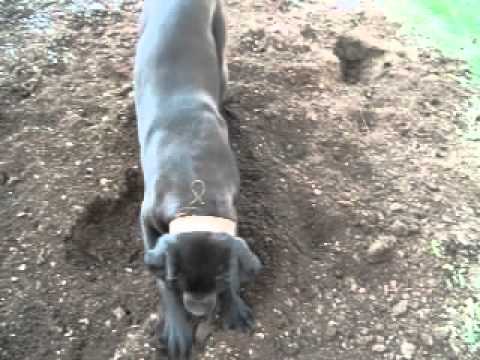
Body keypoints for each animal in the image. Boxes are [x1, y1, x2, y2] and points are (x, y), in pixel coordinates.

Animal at [133, 1, 262, 358]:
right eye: (179, 282)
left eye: (218, 282)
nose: (200, 312)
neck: (195, 187)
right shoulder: (146, 218)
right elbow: (160, 280)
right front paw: (177, 329)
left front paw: (234, 306)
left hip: (219, 39)